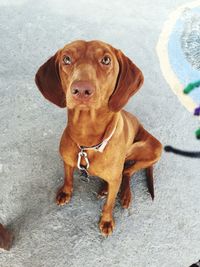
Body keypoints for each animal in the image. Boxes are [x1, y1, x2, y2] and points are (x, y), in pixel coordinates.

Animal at [34, 39, 162, 237]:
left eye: (106, 60)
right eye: (66, 59)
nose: (81, 89)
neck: (87, 140)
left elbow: (109, 204)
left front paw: (107, 220)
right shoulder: (67, 161)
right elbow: (68, 178)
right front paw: (66, 192)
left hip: (155, 148)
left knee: (126, 172)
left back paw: (123, 194)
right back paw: (105, 188)